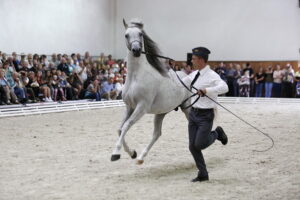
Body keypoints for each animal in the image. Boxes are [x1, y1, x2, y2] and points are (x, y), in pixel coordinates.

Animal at [111, 18, 191, 164]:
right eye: (126, 35)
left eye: (140, 34)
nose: (136, 50)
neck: (135, 77)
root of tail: (185, 75)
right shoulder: (129, 107)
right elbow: (120, 129)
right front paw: (132, 153)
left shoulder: (141, 107)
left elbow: (126, 126)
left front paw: (115, 153)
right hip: (161, 112)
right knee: (157, 134)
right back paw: (141, 157)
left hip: (187, 108)